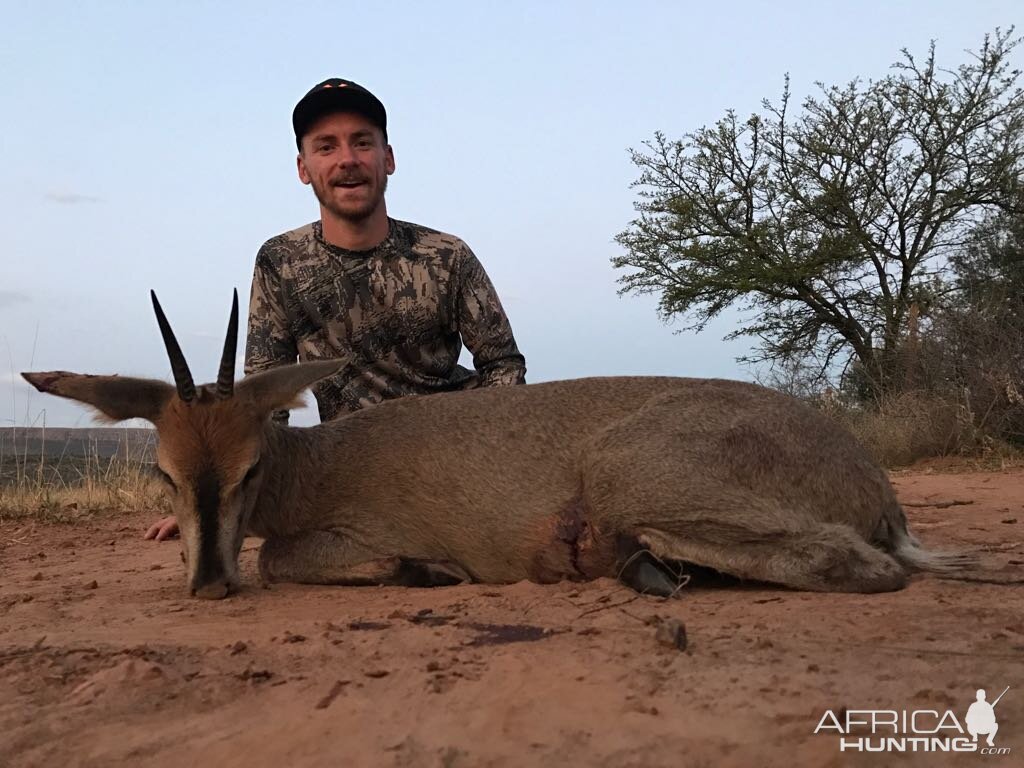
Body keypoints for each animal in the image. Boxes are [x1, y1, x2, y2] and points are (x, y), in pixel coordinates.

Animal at [25, 290, 966, 598]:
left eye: (251, 466)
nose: (209, 585)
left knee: (862, 566)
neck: (317, 468)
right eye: (164, 473)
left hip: (637, 477)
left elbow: (280, 558)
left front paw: (424, 571)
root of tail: (874, 483)